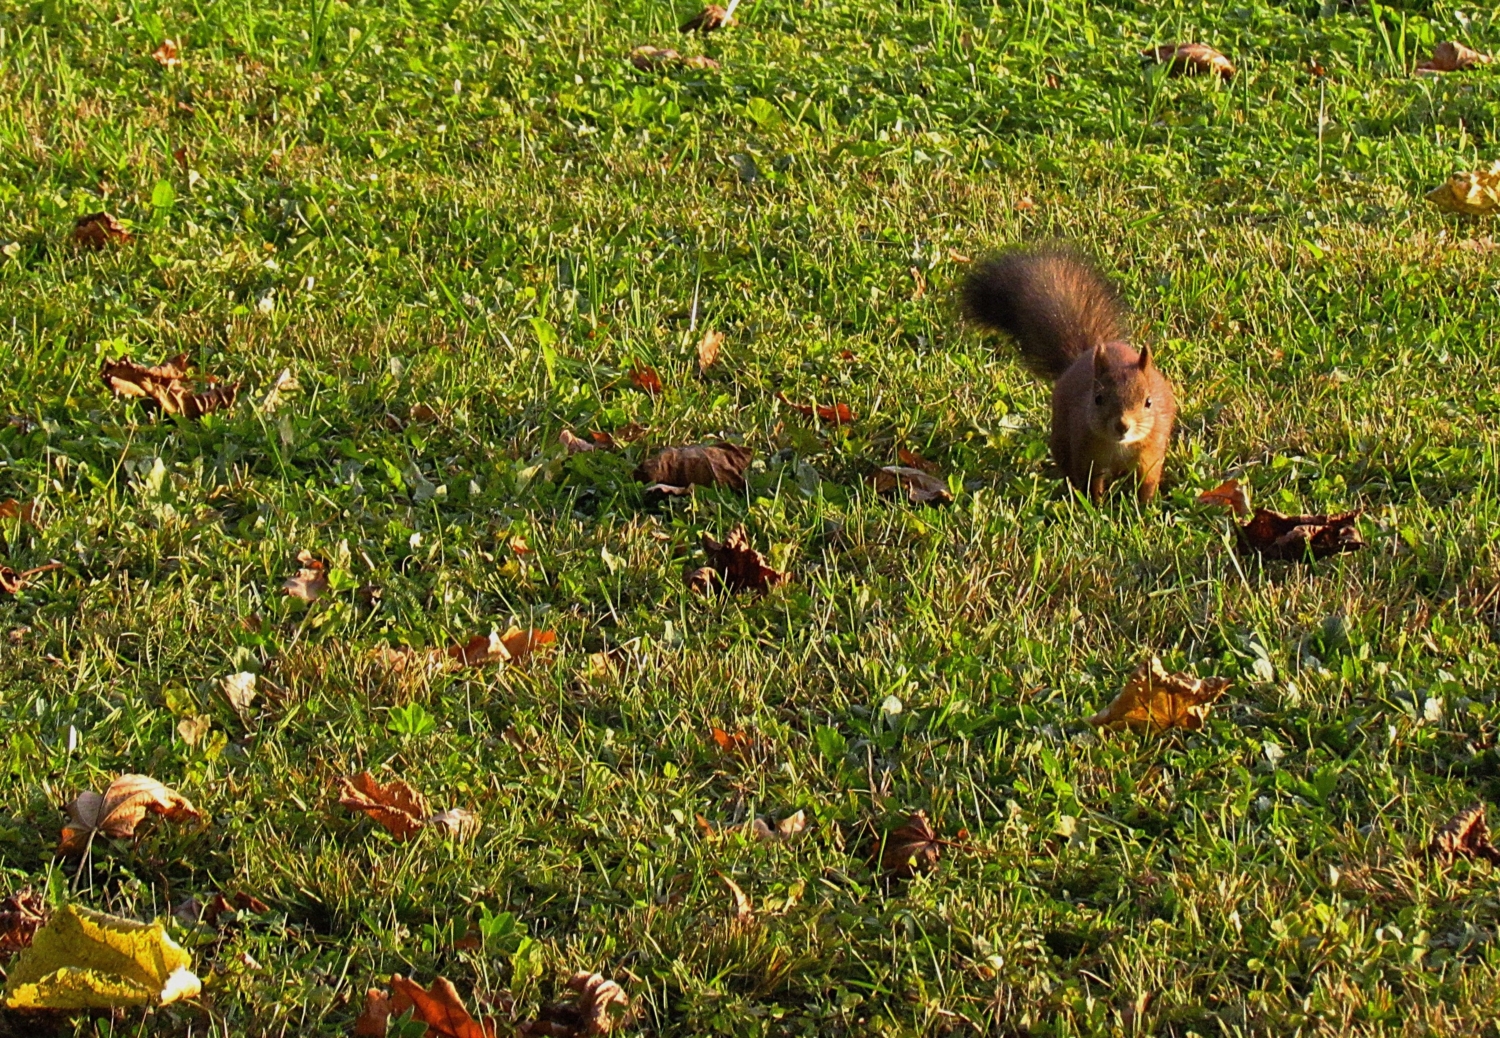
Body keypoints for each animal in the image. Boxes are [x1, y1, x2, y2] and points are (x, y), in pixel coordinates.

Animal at [966, 244, 1176, 504]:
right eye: (1098, 399)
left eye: (1149, 402)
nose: (1122, 426)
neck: (1119, 447)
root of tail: (1083, 356)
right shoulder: (1085, 451)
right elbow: (1089, 482)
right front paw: (1094, 506)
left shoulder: (1150, 455)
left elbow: (1147, 483)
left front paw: (1146, 506)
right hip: (1062, 439)